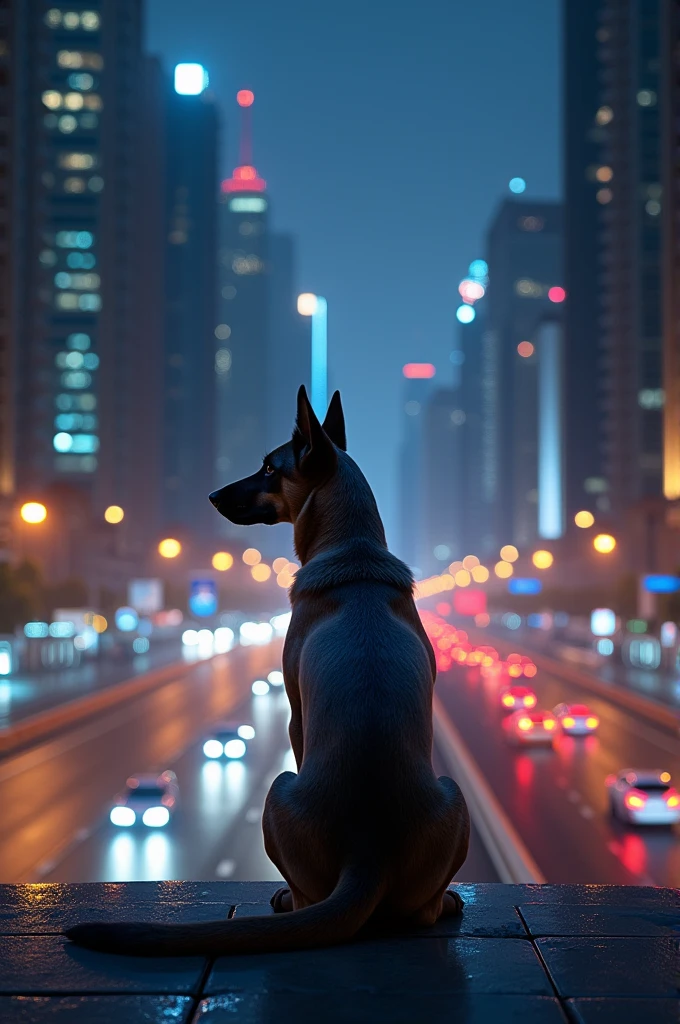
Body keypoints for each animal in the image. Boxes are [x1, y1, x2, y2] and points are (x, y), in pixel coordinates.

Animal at [69, 387, 471, 954]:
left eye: (268, 468)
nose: (213, 495)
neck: (351, 546)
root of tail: (369, 851)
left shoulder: (296, 713)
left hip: (279, 788)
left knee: (327, 900)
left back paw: (290, 899)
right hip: (453, 798)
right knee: (419, 907)